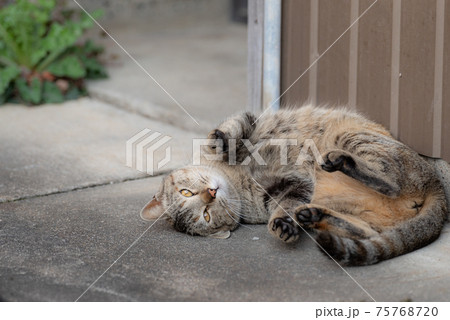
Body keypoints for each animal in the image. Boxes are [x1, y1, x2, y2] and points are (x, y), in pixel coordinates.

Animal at [141, 106, 446, 266]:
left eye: (186, 192)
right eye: (205, 216)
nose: (211, 194)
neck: (237, 178)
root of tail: (436, 182)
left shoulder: (250, 120)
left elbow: (231, 129)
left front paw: (221, 141)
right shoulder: (288, 189)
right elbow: (286, 206)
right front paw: (285, 226)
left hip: (351, 136)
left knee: (389, 183)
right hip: (359, 209)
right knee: (372, 220)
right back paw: (313, 213)